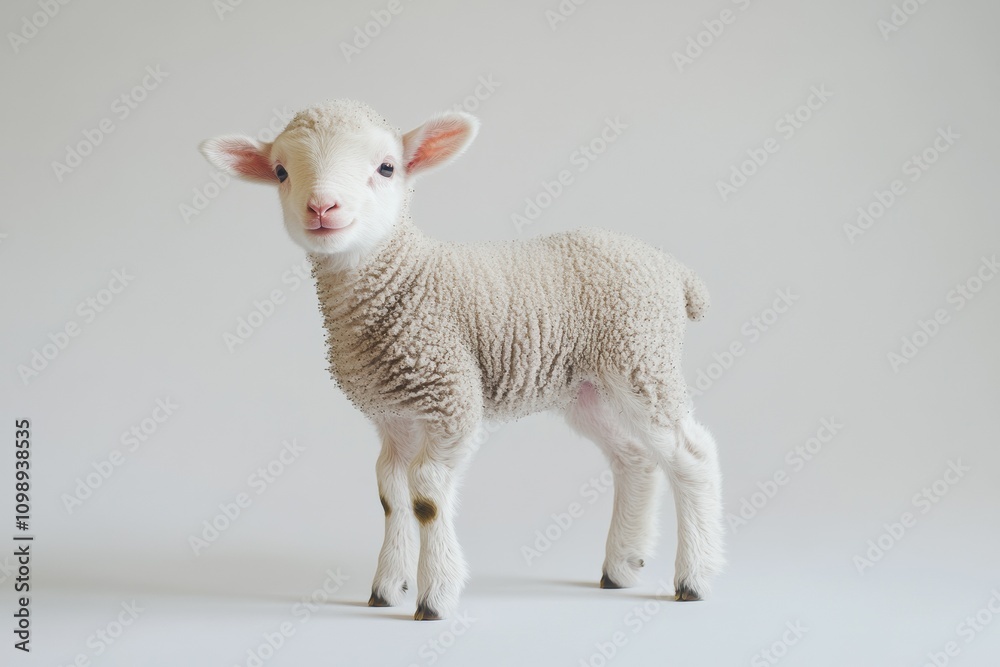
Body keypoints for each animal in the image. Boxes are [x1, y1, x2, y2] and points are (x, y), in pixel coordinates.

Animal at [200, 99, 724, 620]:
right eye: (281, 172)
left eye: (386, 167)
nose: (322, 208)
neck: (404, 279)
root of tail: (673, 270)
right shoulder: (394, 414)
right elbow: (390, 490)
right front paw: (387, 586)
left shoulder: (450, 397)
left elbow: (426, 494)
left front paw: (434, 597)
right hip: (587, 387)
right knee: (633, 457)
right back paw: (621, 566)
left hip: (640, 357)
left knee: (691, 454)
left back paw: (695, 578)